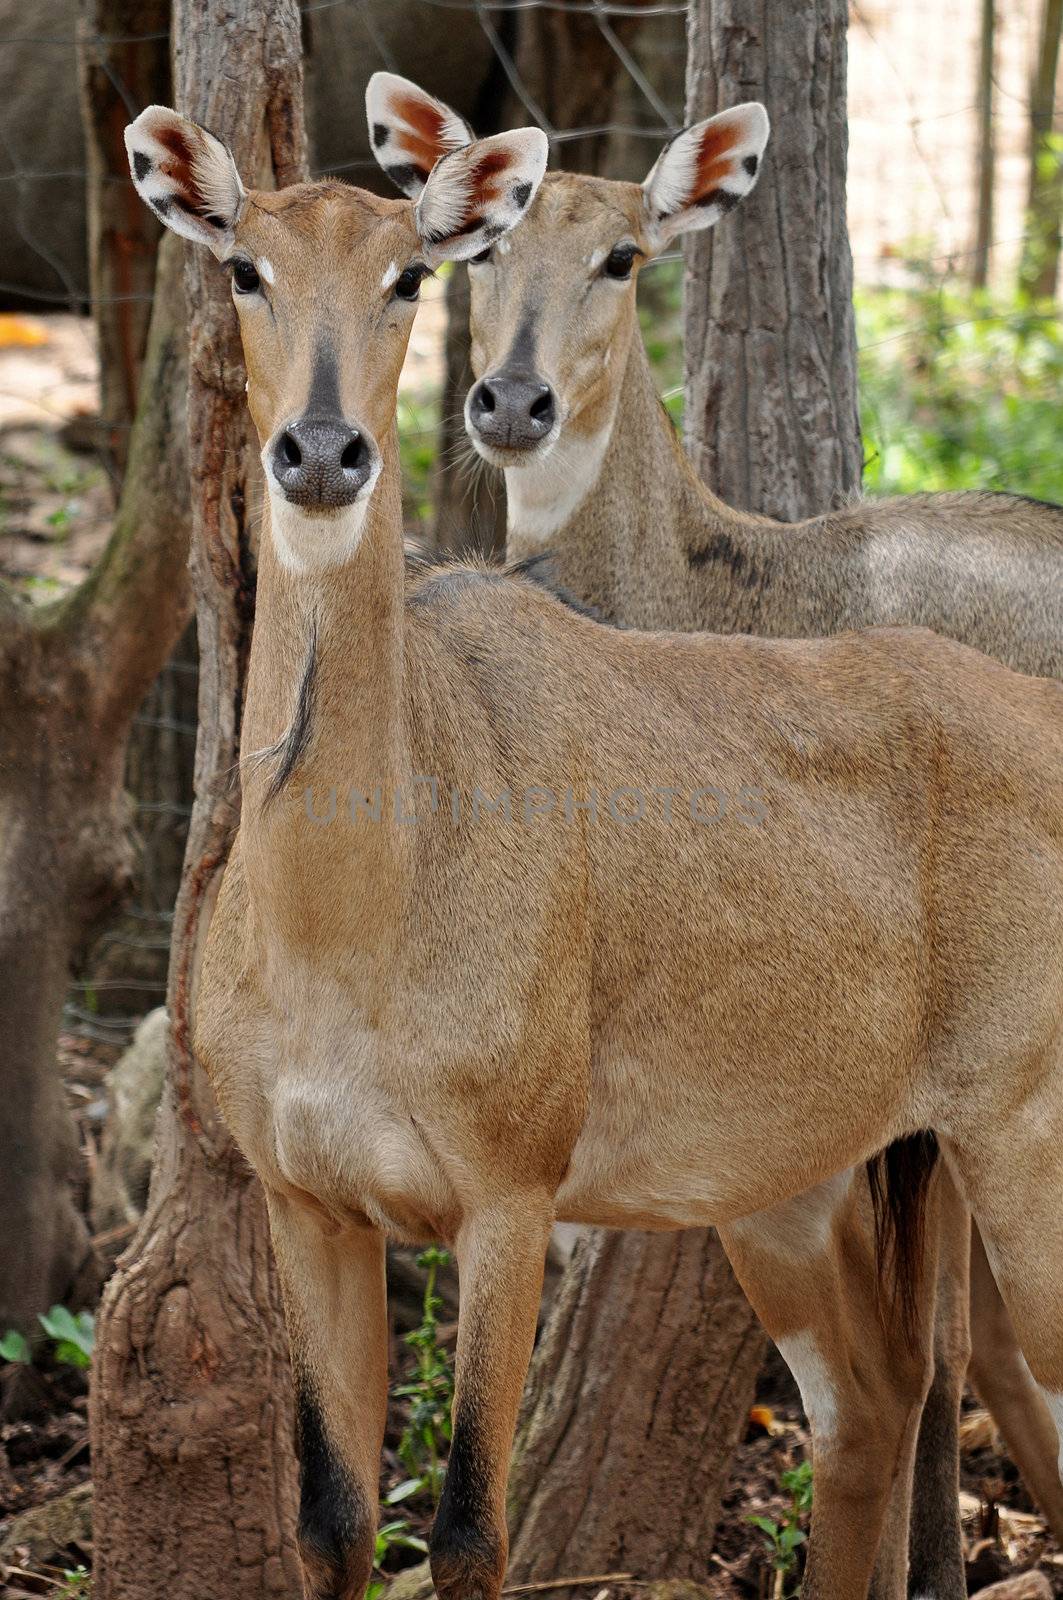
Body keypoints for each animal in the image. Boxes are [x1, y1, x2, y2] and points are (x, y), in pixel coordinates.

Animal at [130, 103, 1063, 1600]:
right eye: (243, 268)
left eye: (408, 273)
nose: (321, 452)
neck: (351, 899)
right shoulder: (307, 1205)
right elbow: (332, 1522)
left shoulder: (506, 1201)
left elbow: (468, 1528)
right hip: (791, 1179)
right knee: (870, 1403)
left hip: (1017, 1131)